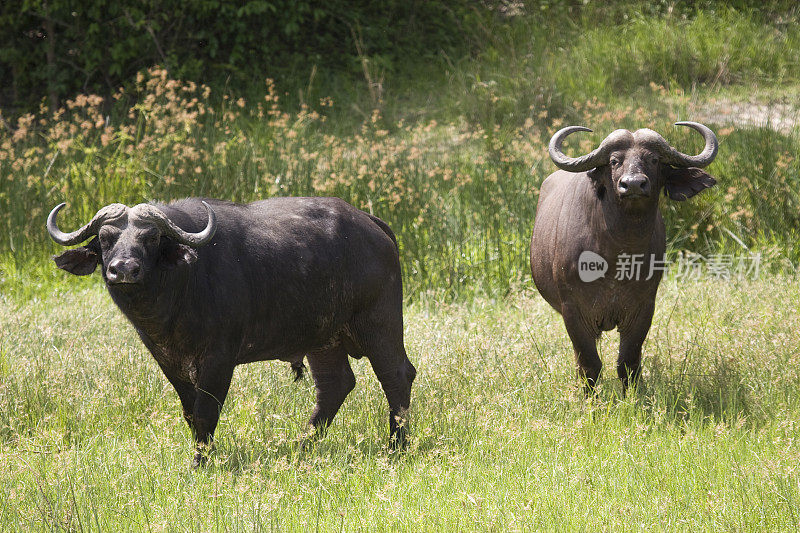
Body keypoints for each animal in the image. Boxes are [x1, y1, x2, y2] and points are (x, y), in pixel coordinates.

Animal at [48, 196, 418, 466]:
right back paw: (302, 445)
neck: (180, 288)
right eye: (105, 239)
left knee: (397, 375)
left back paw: (395, 448)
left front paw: (201, 463)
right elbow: (190, 413)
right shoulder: (168, 361)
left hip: (379, 322)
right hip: (324, 339)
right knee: (335, 385)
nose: (123, 269)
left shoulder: (219, 360)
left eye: (150, 237)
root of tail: (371, 224)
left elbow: (206, 412)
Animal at [532, 122, 720, 392]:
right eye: (614, 161)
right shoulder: (573, 311)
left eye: (653, 159)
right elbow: (589, 365)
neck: (616, 256)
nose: (632, 185)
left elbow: (628, 363)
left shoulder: (643, 308)